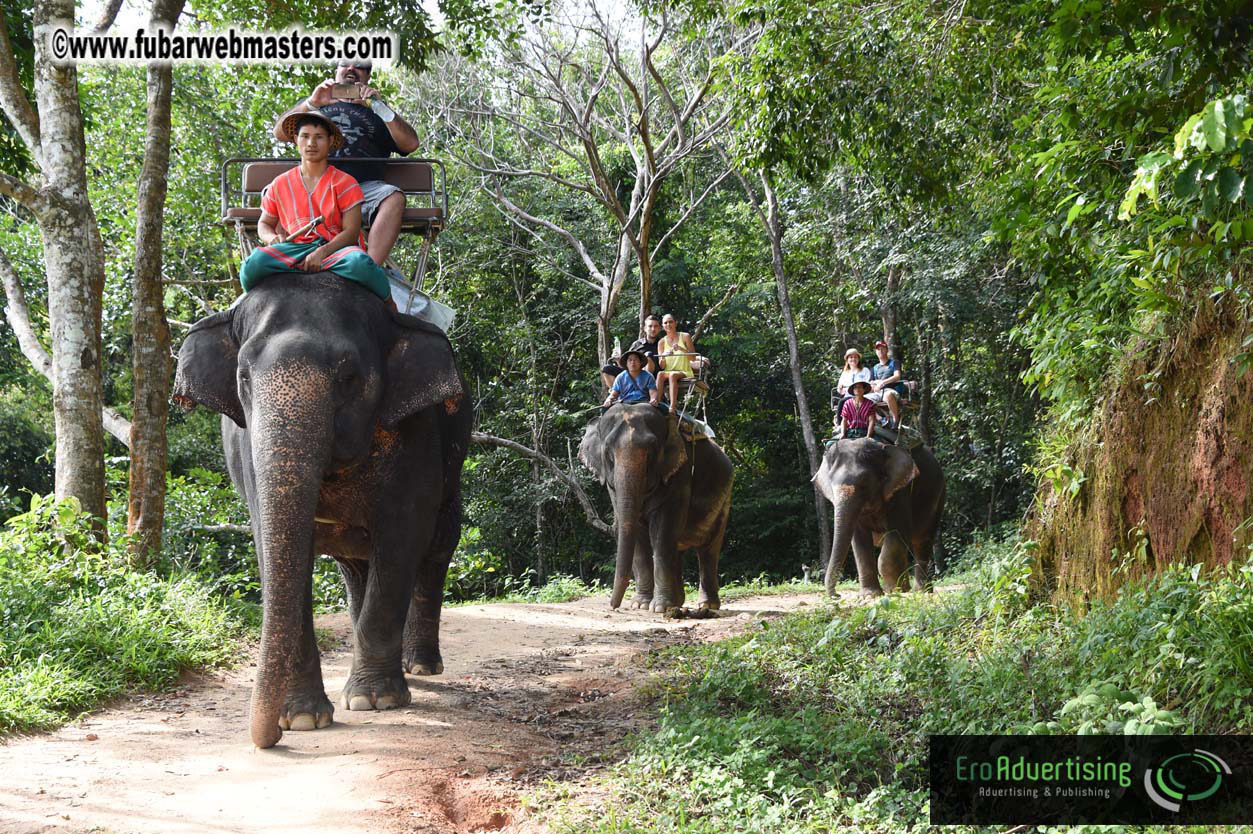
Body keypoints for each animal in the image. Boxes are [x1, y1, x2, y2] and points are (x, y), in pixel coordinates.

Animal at [172, 272, 471, 749]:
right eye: (243, 377)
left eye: (348, 376)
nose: (268, 739)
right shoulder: (248, 453)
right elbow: (273, 546)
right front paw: (302, 719)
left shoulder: (417, 434)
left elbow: (402, 538)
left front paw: (373, 701)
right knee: (356, 568)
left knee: (437, 547)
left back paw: (420, 668)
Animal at [578, 404, 733, 613]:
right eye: (609, 454)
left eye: (651, 452)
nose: (613, 606)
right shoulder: (612, 488)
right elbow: (638, 534)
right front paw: (641, 604)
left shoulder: (680, 473)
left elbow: (662, 532)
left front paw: (659, 608)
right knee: (678, 549)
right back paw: (678, 603)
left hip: (725, 497)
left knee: (708, 549)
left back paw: (707, 605)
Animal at [813, 437, 945, 596]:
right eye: (831, 485)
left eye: (864, 482)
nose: (837, 595)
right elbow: (860, 542)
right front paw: (871, 595)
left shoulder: (900, 491)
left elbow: (896, 535)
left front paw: (893, 591)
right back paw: (908, 588)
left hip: (938, 496)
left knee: (922, 541)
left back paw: (920, 591)